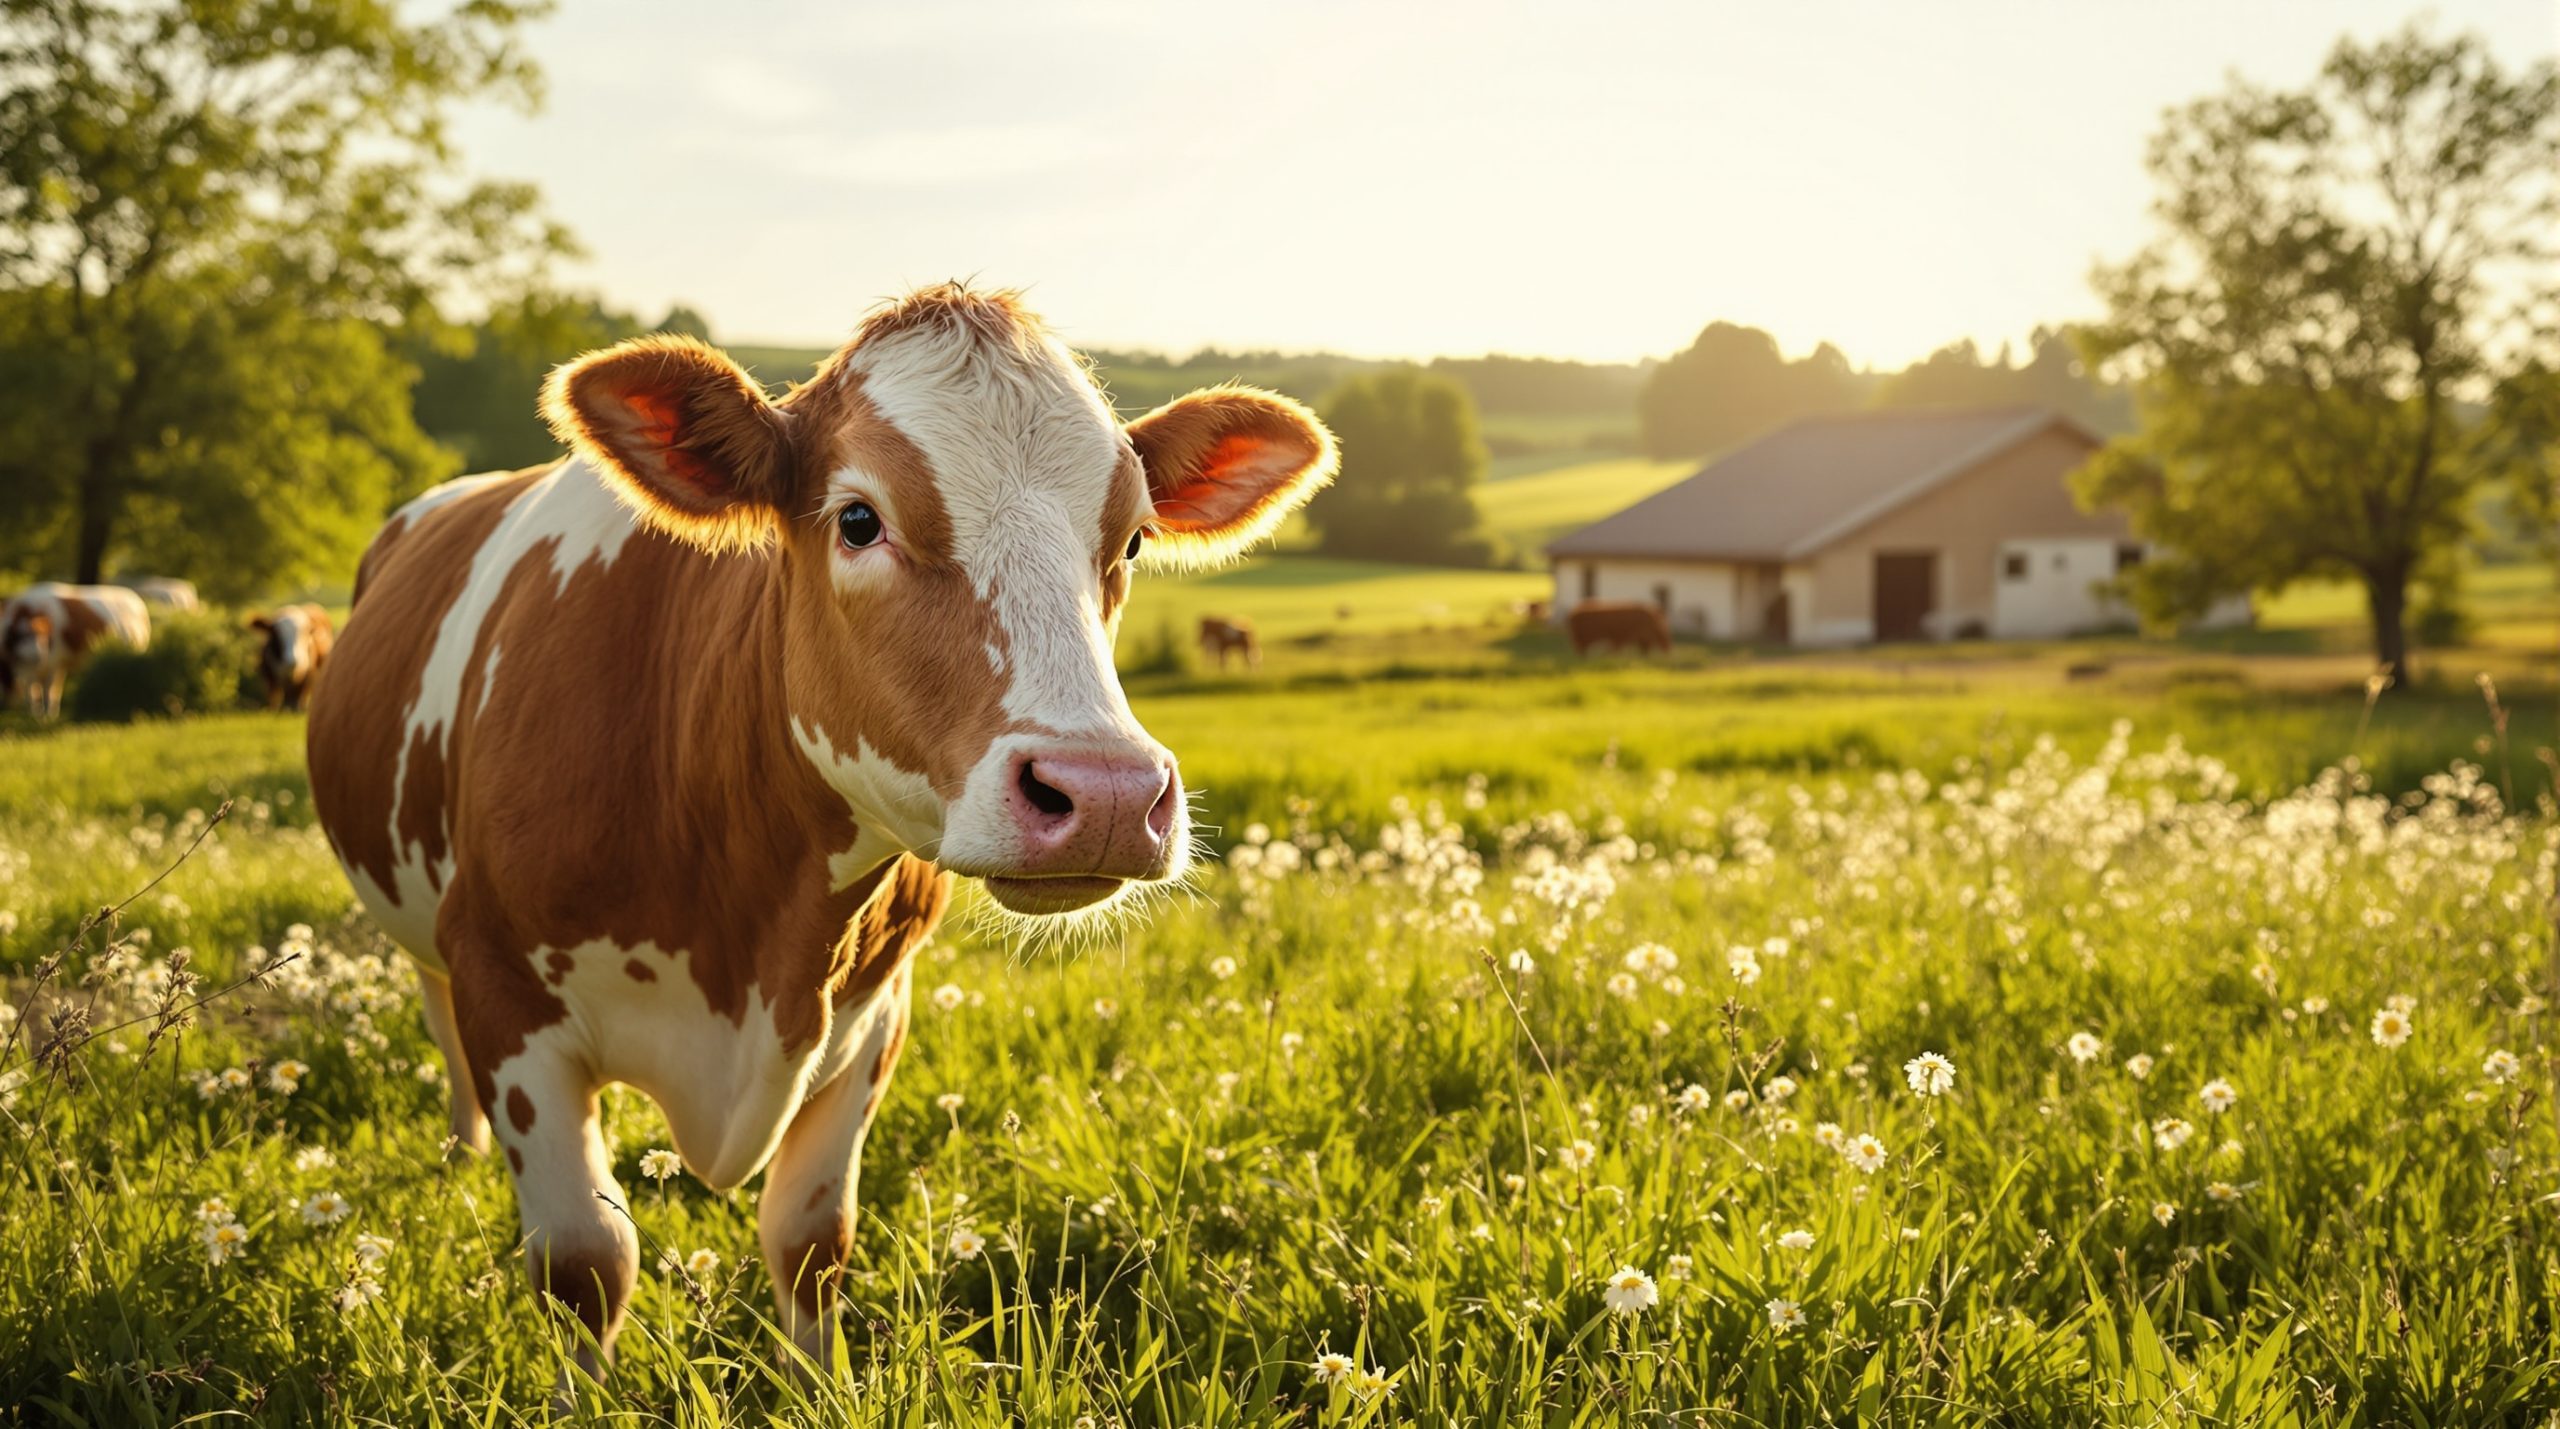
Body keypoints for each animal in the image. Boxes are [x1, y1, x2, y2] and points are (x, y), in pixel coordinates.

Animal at [3, 583, 150, 717]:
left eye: (43, 637)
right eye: (20, 636)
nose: (38, 655)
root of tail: (136, 600)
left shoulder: (54, 663)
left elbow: (50, 688)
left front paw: (48, 716)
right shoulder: (24, 668)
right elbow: (31, 690)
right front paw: (33, 714)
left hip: (136, 650)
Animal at [304, 285, 1336, 1390]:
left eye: (1134, 540)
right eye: (858, 519)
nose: (1104, 793)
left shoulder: (872, 1013)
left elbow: (809, 1240)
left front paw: (816, 1388)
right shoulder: (505, 986)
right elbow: (585, 1259)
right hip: (428, 933)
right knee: (438, 1017)